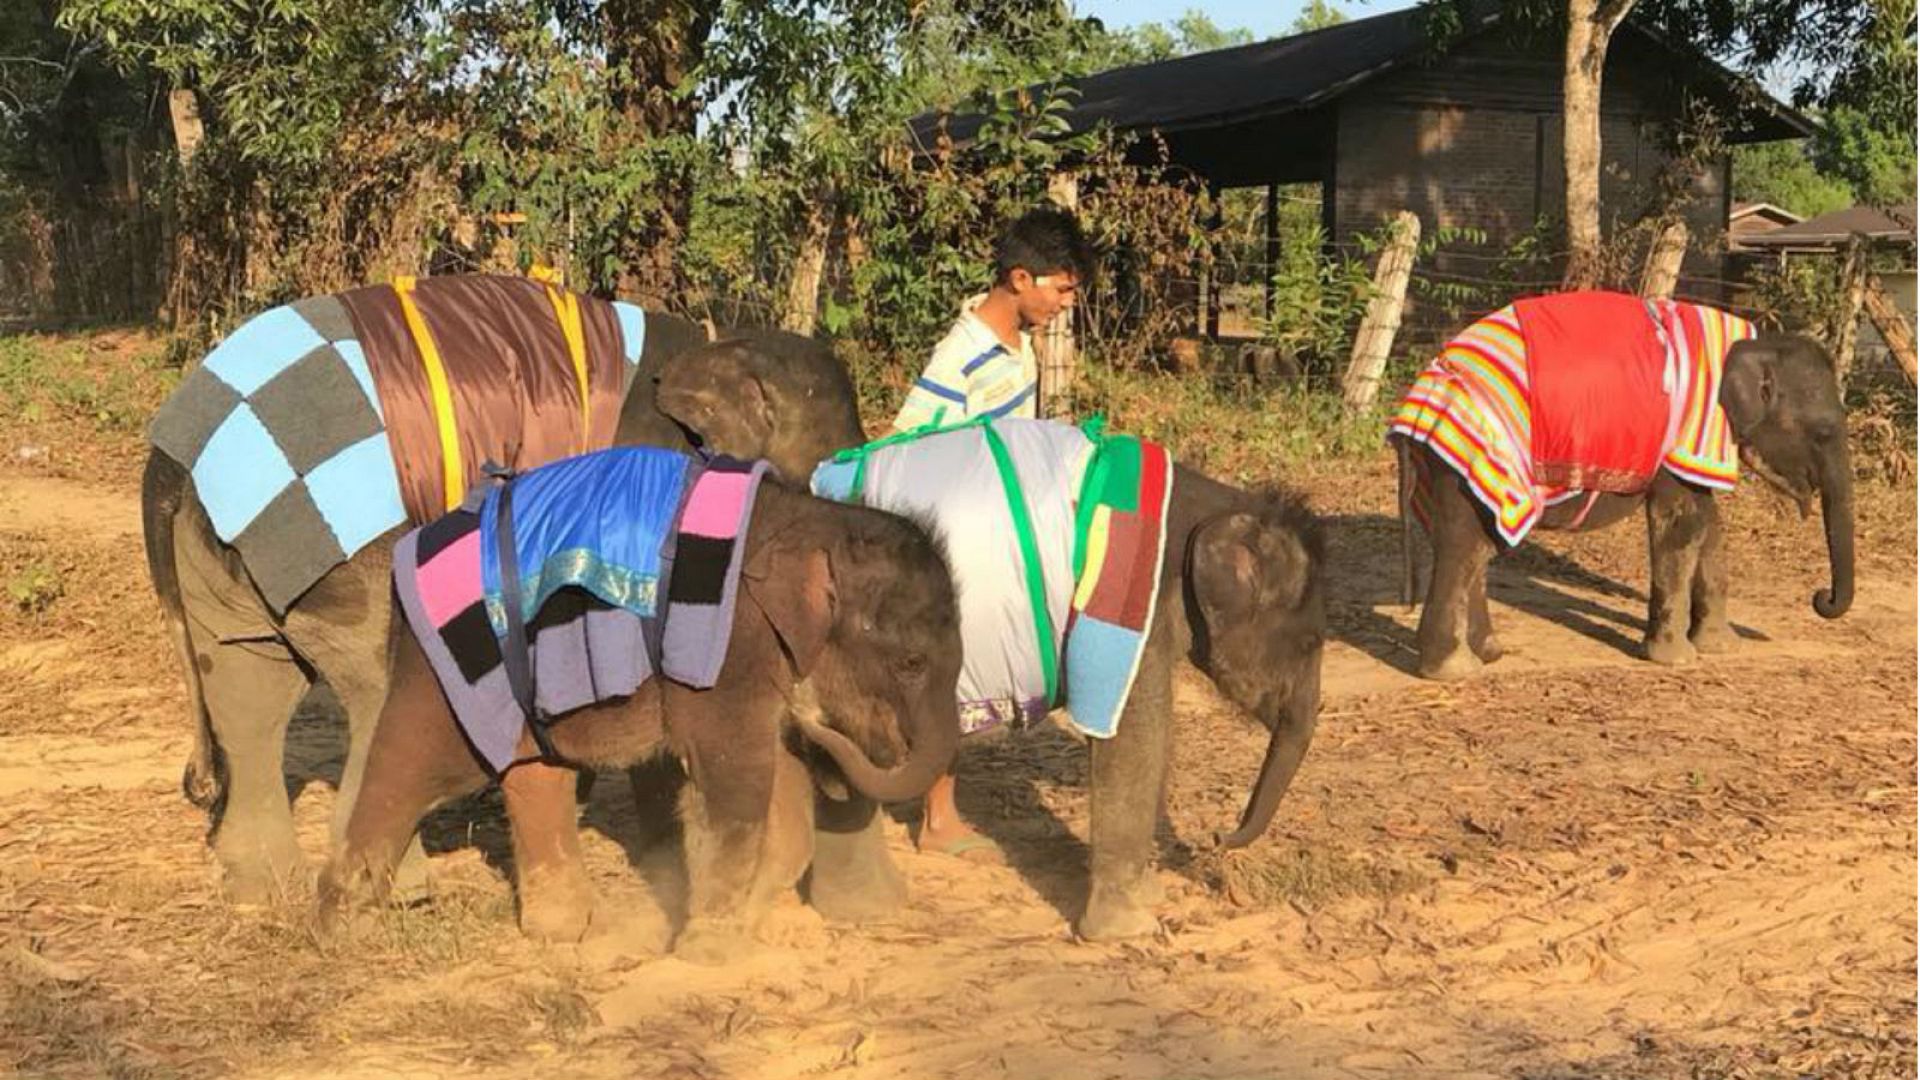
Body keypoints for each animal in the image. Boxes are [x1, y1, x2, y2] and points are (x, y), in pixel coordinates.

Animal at [141, 273, 862, 905]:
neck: (712, 345)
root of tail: (170, 459)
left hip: (229, 544)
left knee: (248, 682)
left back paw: (259, 891)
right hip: (335, 539)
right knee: (374, 678)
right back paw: (404, 891)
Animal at [318, 472, 964, 960]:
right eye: (910, 663)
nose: (822, 729)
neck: (818, 518)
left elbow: (781, 785)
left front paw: (767, 924)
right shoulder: (727, 651)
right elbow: (737, 782)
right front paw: (712, 951)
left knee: (537, 775)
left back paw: (570, 932)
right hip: (445, 673)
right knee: (408, 767)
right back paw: (346, 925)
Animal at [1391, 295, 1853, 681]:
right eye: (1824, 432)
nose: (1820, 597)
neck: (1755, 343)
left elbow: (1709, 524)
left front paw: (1722, 648)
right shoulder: (1686, 426)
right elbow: (1683, 524)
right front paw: (1676, 660)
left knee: (1469, 544)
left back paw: (1490, 653)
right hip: (1474, 457)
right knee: (1467, 546)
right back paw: (1455, 671)